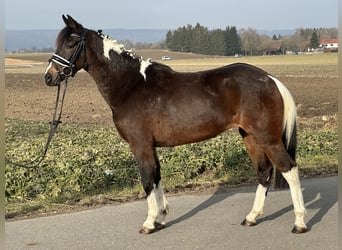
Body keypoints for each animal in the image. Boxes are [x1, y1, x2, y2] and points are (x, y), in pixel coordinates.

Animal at [43, 15, 308, 234]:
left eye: (70, 44)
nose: (49, 76)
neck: (132, 85)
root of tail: (270, 79)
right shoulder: (151, 147)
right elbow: (157, 178)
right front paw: (161, 218)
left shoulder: (140, 146)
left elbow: (147, 181)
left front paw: (149, 223)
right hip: (250, 136)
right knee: (264, 172)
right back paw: (251, 218)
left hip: (268, 138)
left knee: (289, 169)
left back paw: (299, 223)